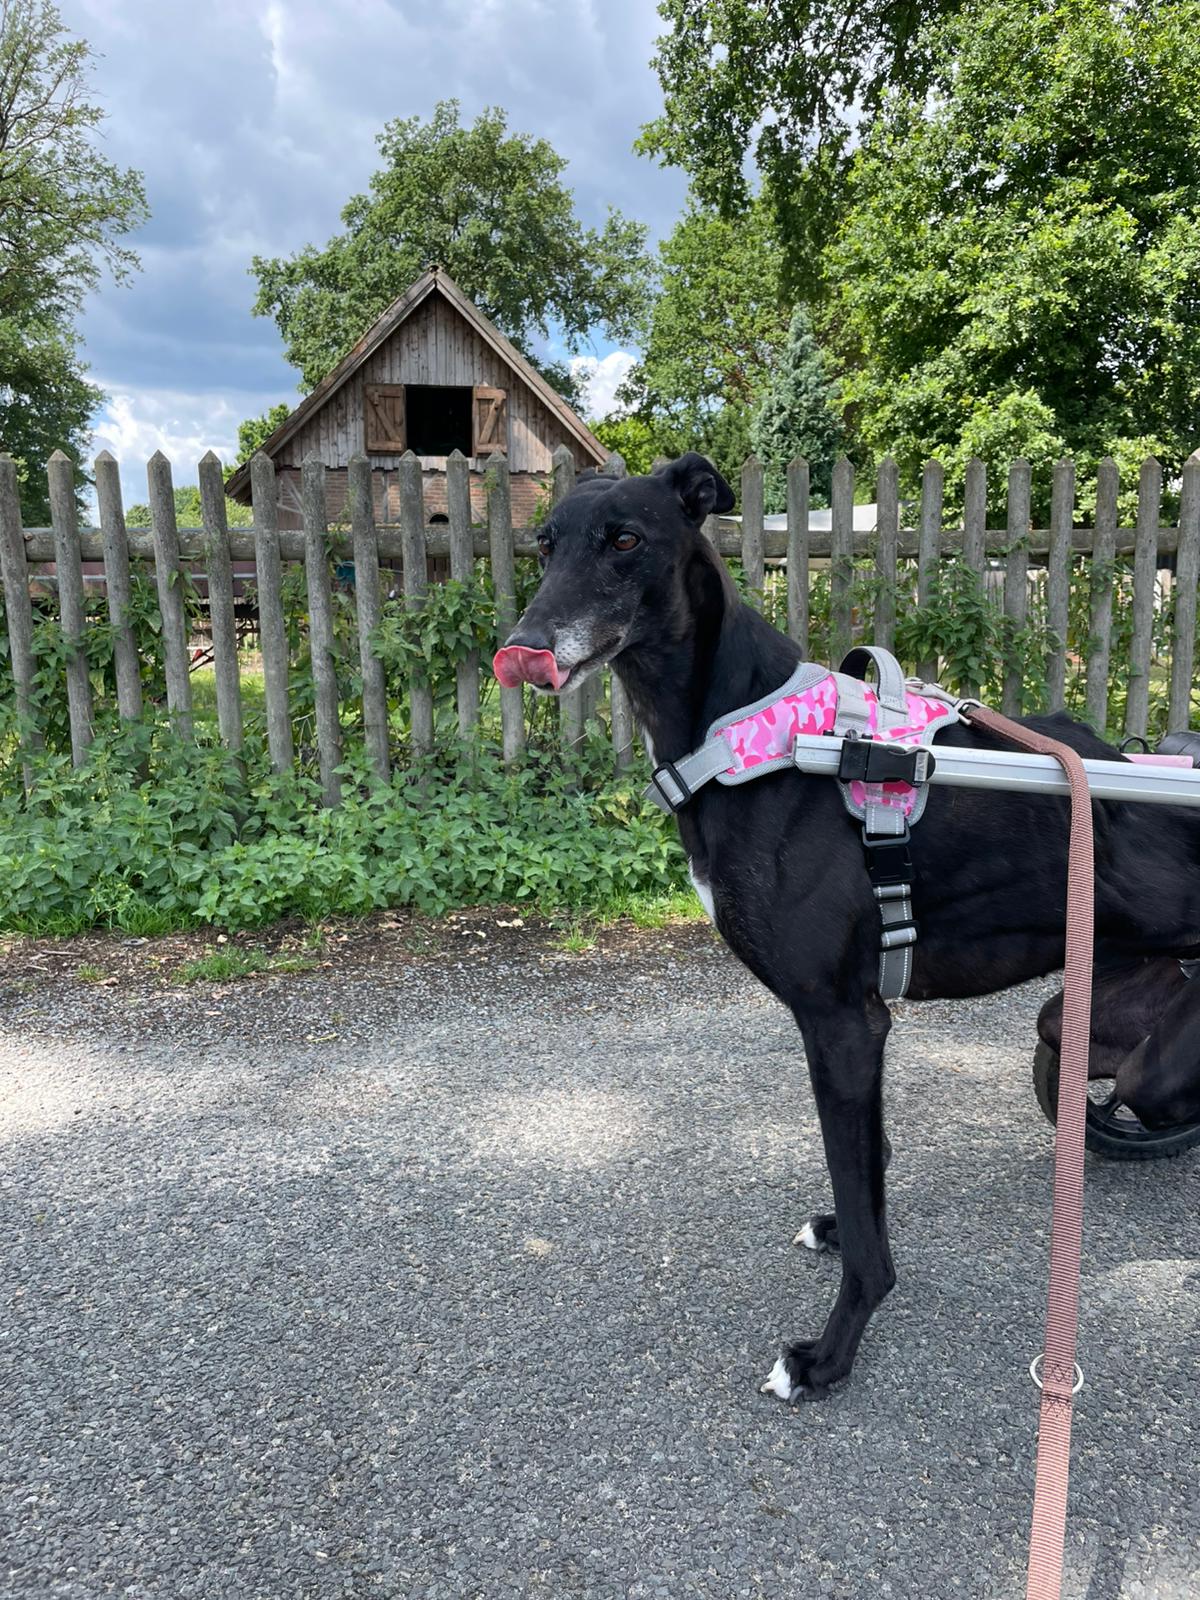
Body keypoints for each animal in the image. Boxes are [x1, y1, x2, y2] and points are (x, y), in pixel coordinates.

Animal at [494, 452, 1200, 1401]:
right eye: (546, 544)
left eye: (627, 541)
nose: (526, 647)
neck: (746, 734)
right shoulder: (860, 1027)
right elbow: (867, 1169)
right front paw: (840, 1228)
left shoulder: (840, 1022)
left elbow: (869, 1229)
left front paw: (829, 1355)